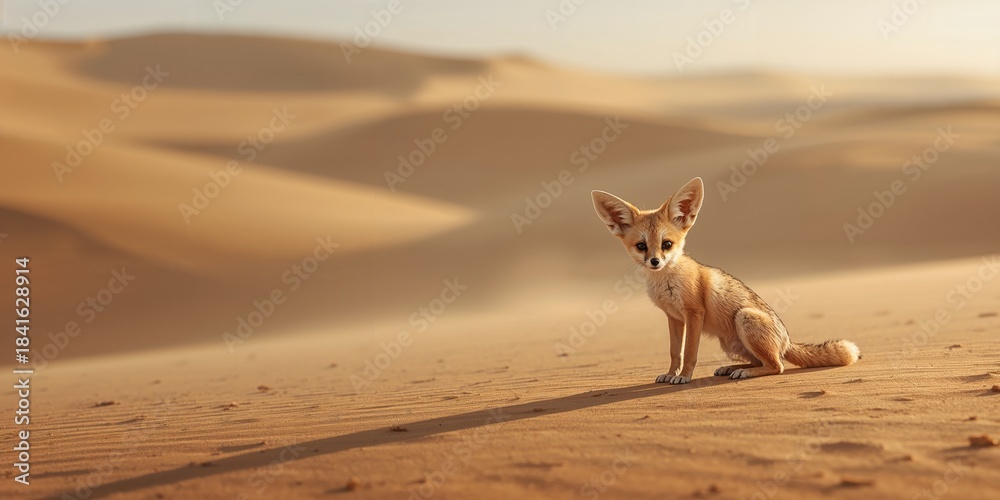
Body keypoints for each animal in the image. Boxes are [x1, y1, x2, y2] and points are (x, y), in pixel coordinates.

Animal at [591, 177, 860, 384]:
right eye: (641, 246)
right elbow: (674, 352)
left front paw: (684, 376)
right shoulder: (673, 317)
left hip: (744, 318)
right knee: (762, 361)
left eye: (666, 244)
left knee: (777, 365)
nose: (655, 262)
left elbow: (689, 353)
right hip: (730, 344)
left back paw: (744, 372)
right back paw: (732, 369)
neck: (666, 283)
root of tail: (787, 340)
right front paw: (670, 374)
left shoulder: (694, 313)